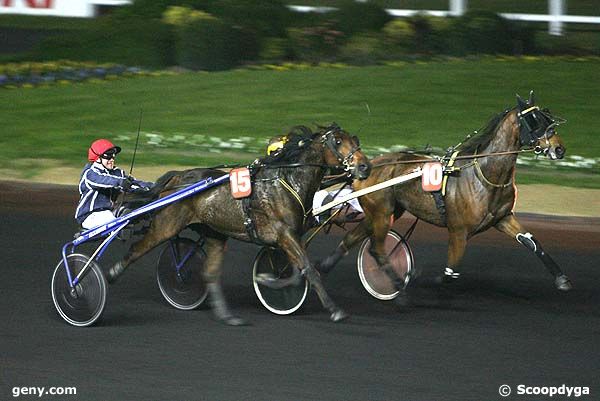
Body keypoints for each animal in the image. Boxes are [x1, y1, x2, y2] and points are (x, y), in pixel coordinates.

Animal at [108, 123, 370, 324]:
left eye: (355, 140)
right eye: (338, 141)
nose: (364, 166)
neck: (287, 181)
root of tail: (177, 178)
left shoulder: (289, 237)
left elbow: (299, 270)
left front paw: (269, 281)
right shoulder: (284, 234)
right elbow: (308, 269)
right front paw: (335, 310)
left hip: (214, 233)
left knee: (211, 273)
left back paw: (227, 316)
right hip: (166, 224)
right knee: (137, 249)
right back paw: (111, 273)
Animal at [318, 94, 572, 300]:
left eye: (547, 117)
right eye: (535, 120)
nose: (559, 149)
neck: (483, 174)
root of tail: (365, 167)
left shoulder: (503, 218)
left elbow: (533, 243)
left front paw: (562, 279)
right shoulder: (458, 230)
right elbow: (450, 273)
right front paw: (421, 279)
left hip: (385, 212)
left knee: (352, 237)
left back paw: (323, 268)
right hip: (380, 212)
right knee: (374, 247)